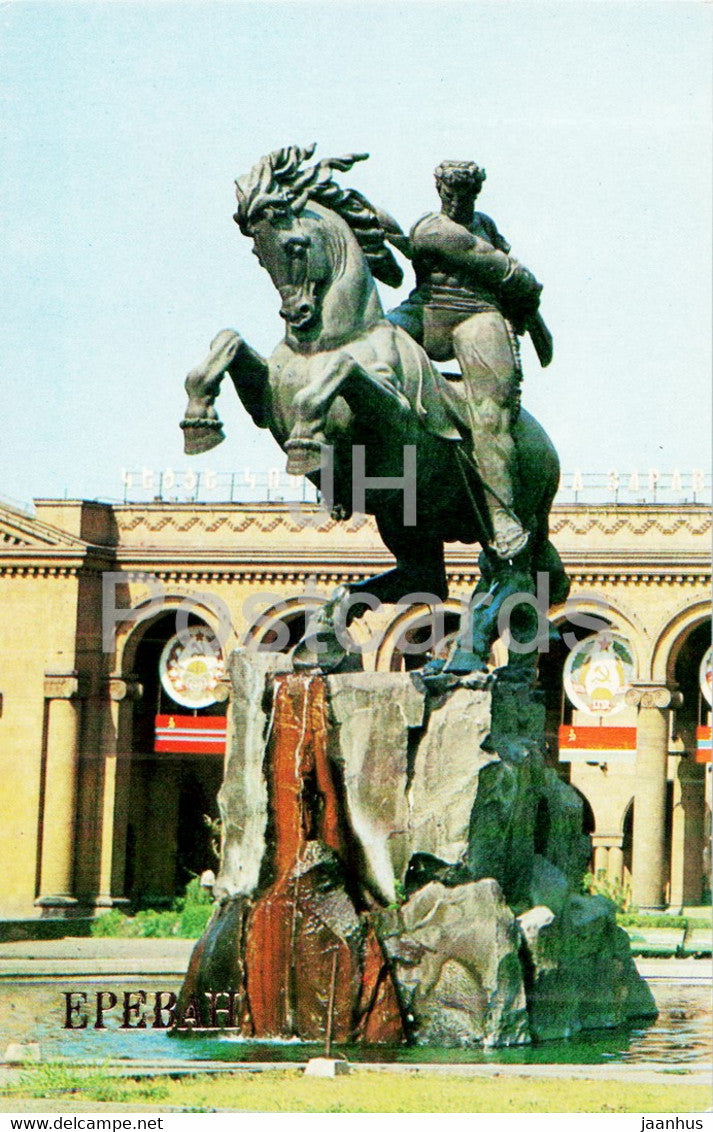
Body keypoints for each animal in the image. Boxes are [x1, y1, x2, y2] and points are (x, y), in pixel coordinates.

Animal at [179, 144, 570, 665]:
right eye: (259, 254)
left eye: (295, 245)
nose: (298, 315)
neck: (327, 340)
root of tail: (547, 446)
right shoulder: (266, 405)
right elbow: (228, 340)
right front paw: (199, 421)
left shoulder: (397, 422)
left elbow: (343, 373)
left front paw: (306, 443)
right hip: (407, 520)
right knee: (430, 579)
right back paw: (328, 631)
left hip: (507, 511)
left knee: (513, 571)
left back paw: (463, 652)